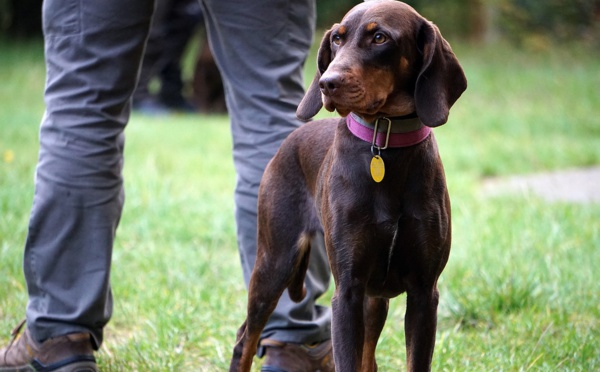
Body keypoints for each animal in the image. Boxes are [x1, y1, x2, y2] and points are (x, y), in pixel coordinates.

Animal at [232, 1, 466, 370]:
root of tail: (288, 141)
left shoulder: (423, 292)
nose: (328, 83)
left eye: (380, 37)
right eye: (337, 39)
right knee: (245, 338)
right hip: (275, 260)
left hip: (373, 297)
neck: (385, 143)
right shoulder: (348, 290)